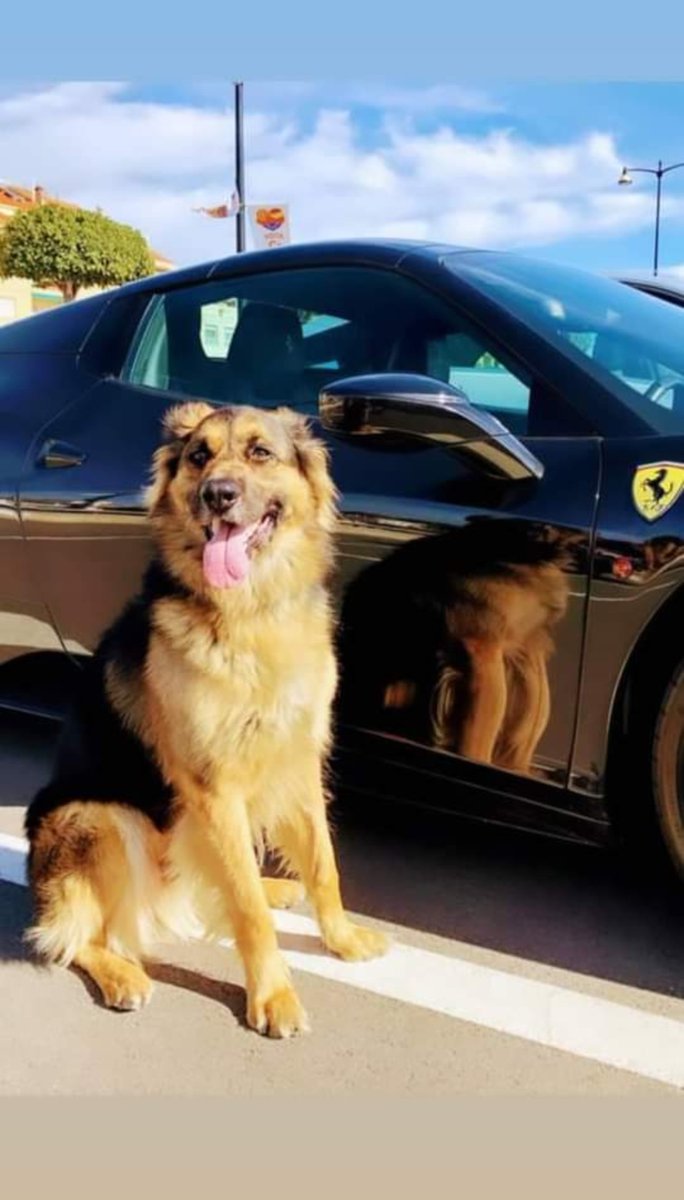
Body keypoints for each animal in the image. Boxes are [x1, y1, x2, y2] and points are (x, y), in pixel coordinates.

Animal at [25, 398, 384, 1036]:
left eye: (260, 452)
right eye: (199, 456)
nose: (217, 494)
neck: (253, 611)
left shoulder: (299, 762)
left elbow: (324, 865)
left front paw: (340, 938)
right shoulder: (213, 787)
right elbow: (244, 907)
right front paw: (272, 995)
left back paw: (273, 887)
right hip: (97, 818)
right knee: (71, 938)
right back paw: (123, 975)